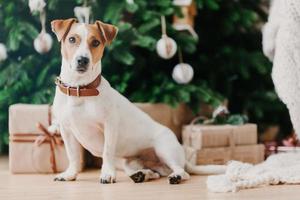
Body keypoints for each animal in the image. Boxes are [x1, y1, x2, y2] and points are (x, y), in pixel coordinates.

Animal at [49, 18, 224, 184]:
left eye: (96, 42)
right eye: (72, 39)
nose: (83, 60)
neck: (81, 90)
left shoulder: (109, 126)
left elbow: (107, 152)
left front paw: (107, 174)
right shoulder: (66, 130)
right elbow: (72, 155)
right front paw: (70, 174)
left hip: (164, 149)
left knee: (182, 171)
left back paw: (176, 177)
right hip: (130, 162)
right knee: (156, 173)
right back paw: (142, 175)